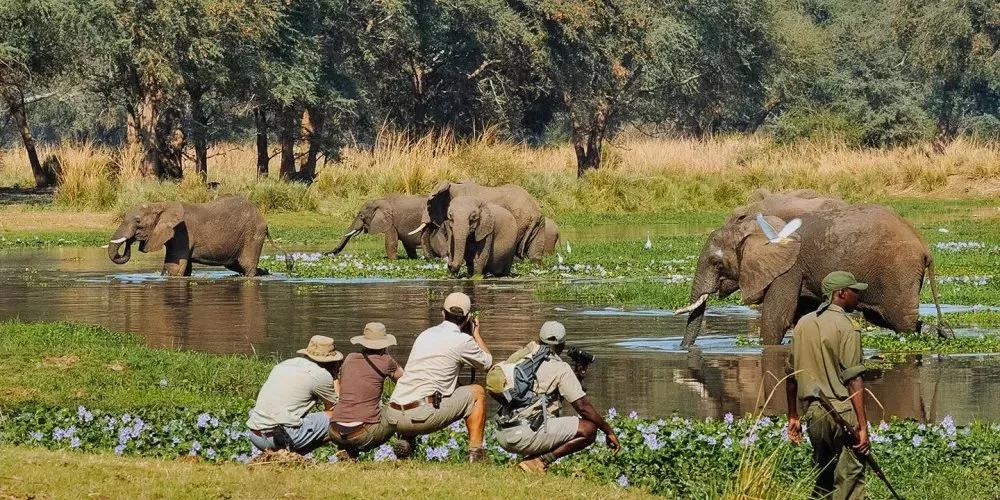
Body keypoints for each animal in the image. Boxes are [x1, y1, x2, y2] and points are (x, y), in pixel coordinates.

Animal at [108, 195, 292, 278]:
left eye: (138, 221)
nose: (130, 241)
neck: (162, 205)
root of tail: (264, 221)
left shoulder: (181, 234)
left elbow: (173, 269)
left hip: (253, 235)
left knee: (246, 267)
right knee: (237, 266)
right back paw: (266, 273)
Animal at [412, 183, 548, 262]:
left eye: (428, 205)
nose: (433, 260)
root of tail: (535, 212)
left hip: (519, 221)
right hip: (540, 224)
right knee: (535, 252)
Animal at [680, 203, 944, 348]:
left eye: (716, 263)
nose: (682, 349)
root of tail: (924, 246)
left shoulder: (789, 269)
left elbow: (777, 317)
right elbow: (802, 316)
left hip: (899, 272)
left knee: (901, 321)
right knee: (887, 319)